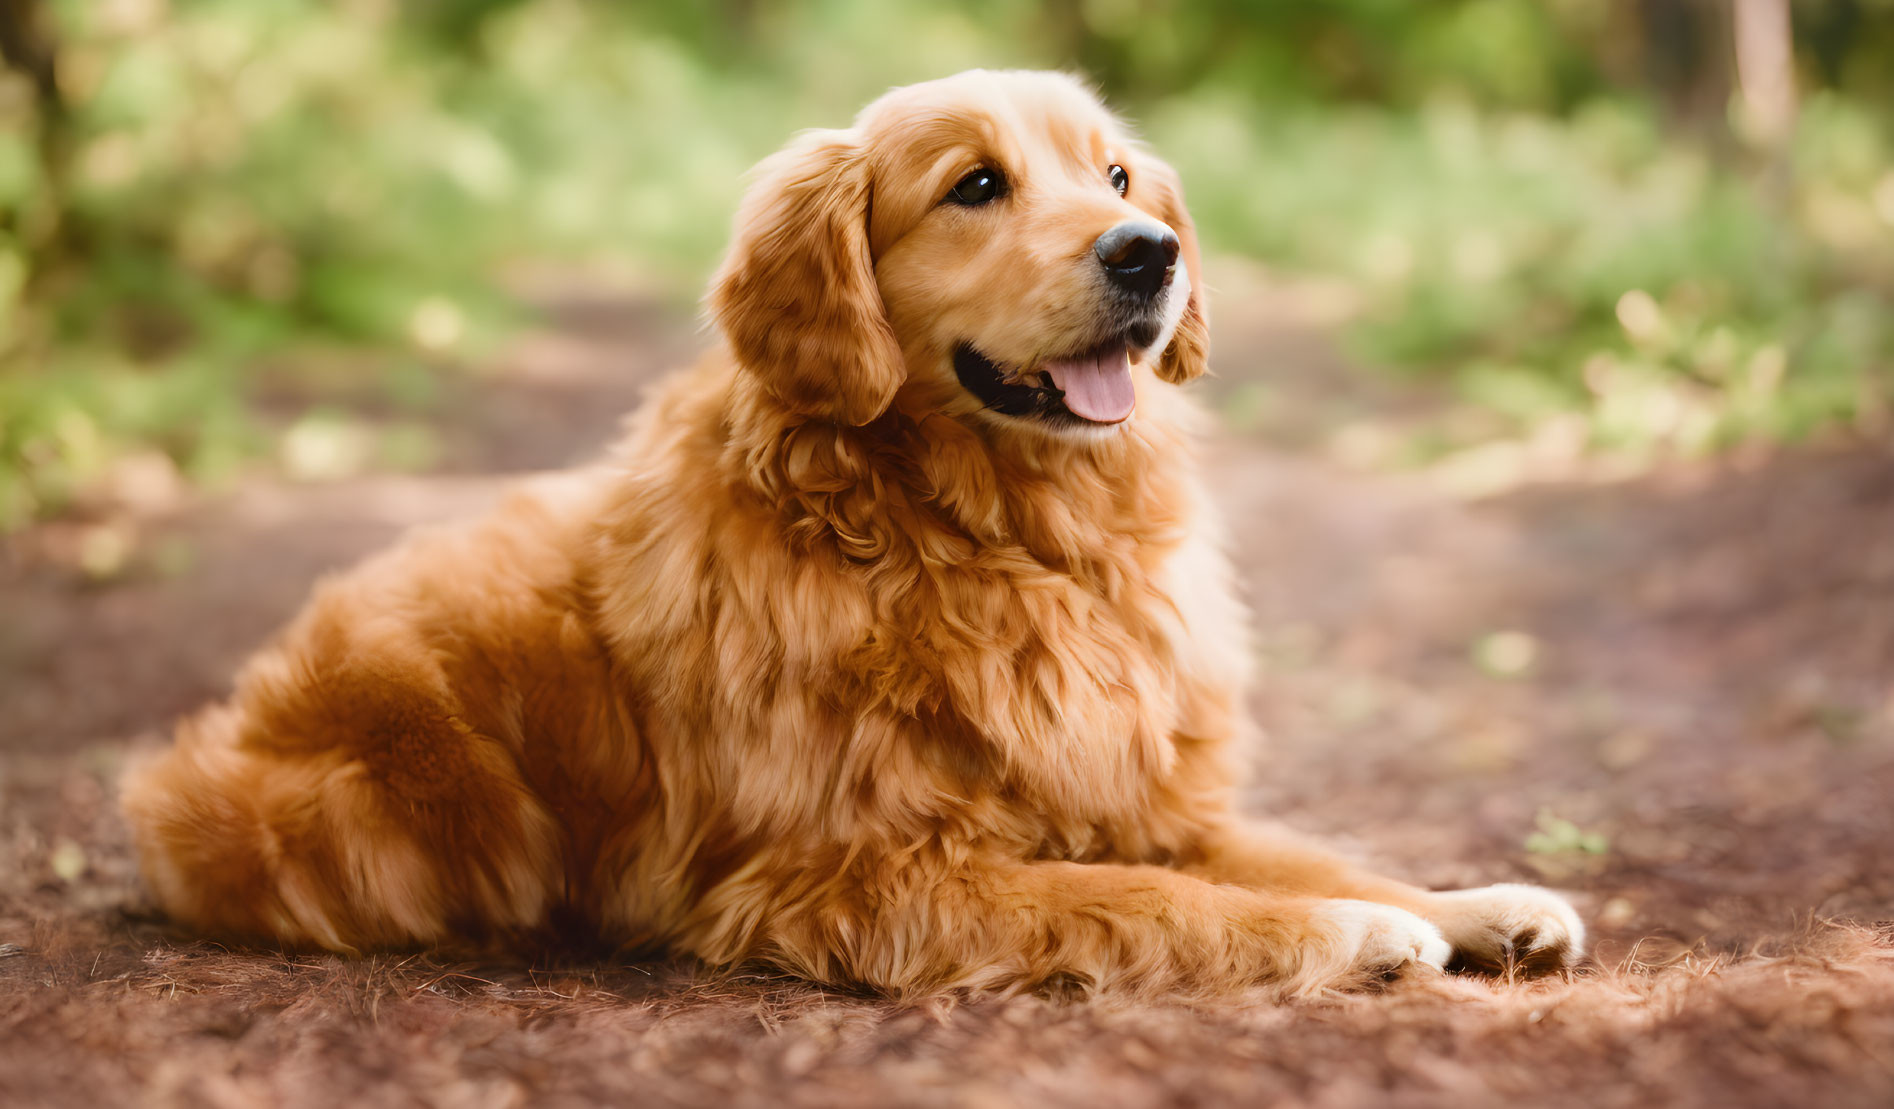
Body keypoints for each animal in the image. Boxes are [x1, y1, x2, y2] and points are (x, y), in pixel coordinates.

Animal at [122, 73, 1583, 999]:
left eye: (1113, 172)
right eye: (976, 185)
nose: (1148, 250)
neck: (998, 541)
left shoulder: (1134, 792)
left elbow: (1295, 846)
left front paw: (1467, 902)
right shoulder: (856, 873)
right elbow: (1154, 901)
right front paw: (1355, 931)